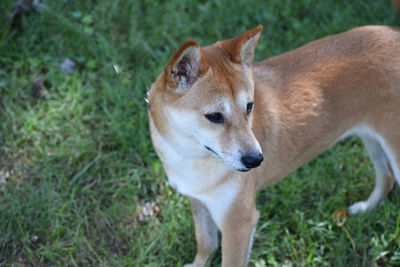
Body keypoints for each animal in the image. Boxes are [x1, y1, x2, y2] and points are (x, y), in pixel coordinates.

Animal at [148, 24, 400, 266]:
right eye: (214, 116)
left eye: (249, 107)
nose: (256, 160)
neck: (190, 156)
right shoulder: (198, 201)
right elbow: (206, 243)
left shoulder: (239, 223)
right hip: (371, 139)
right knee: (385, 177)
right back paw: (366, 208)